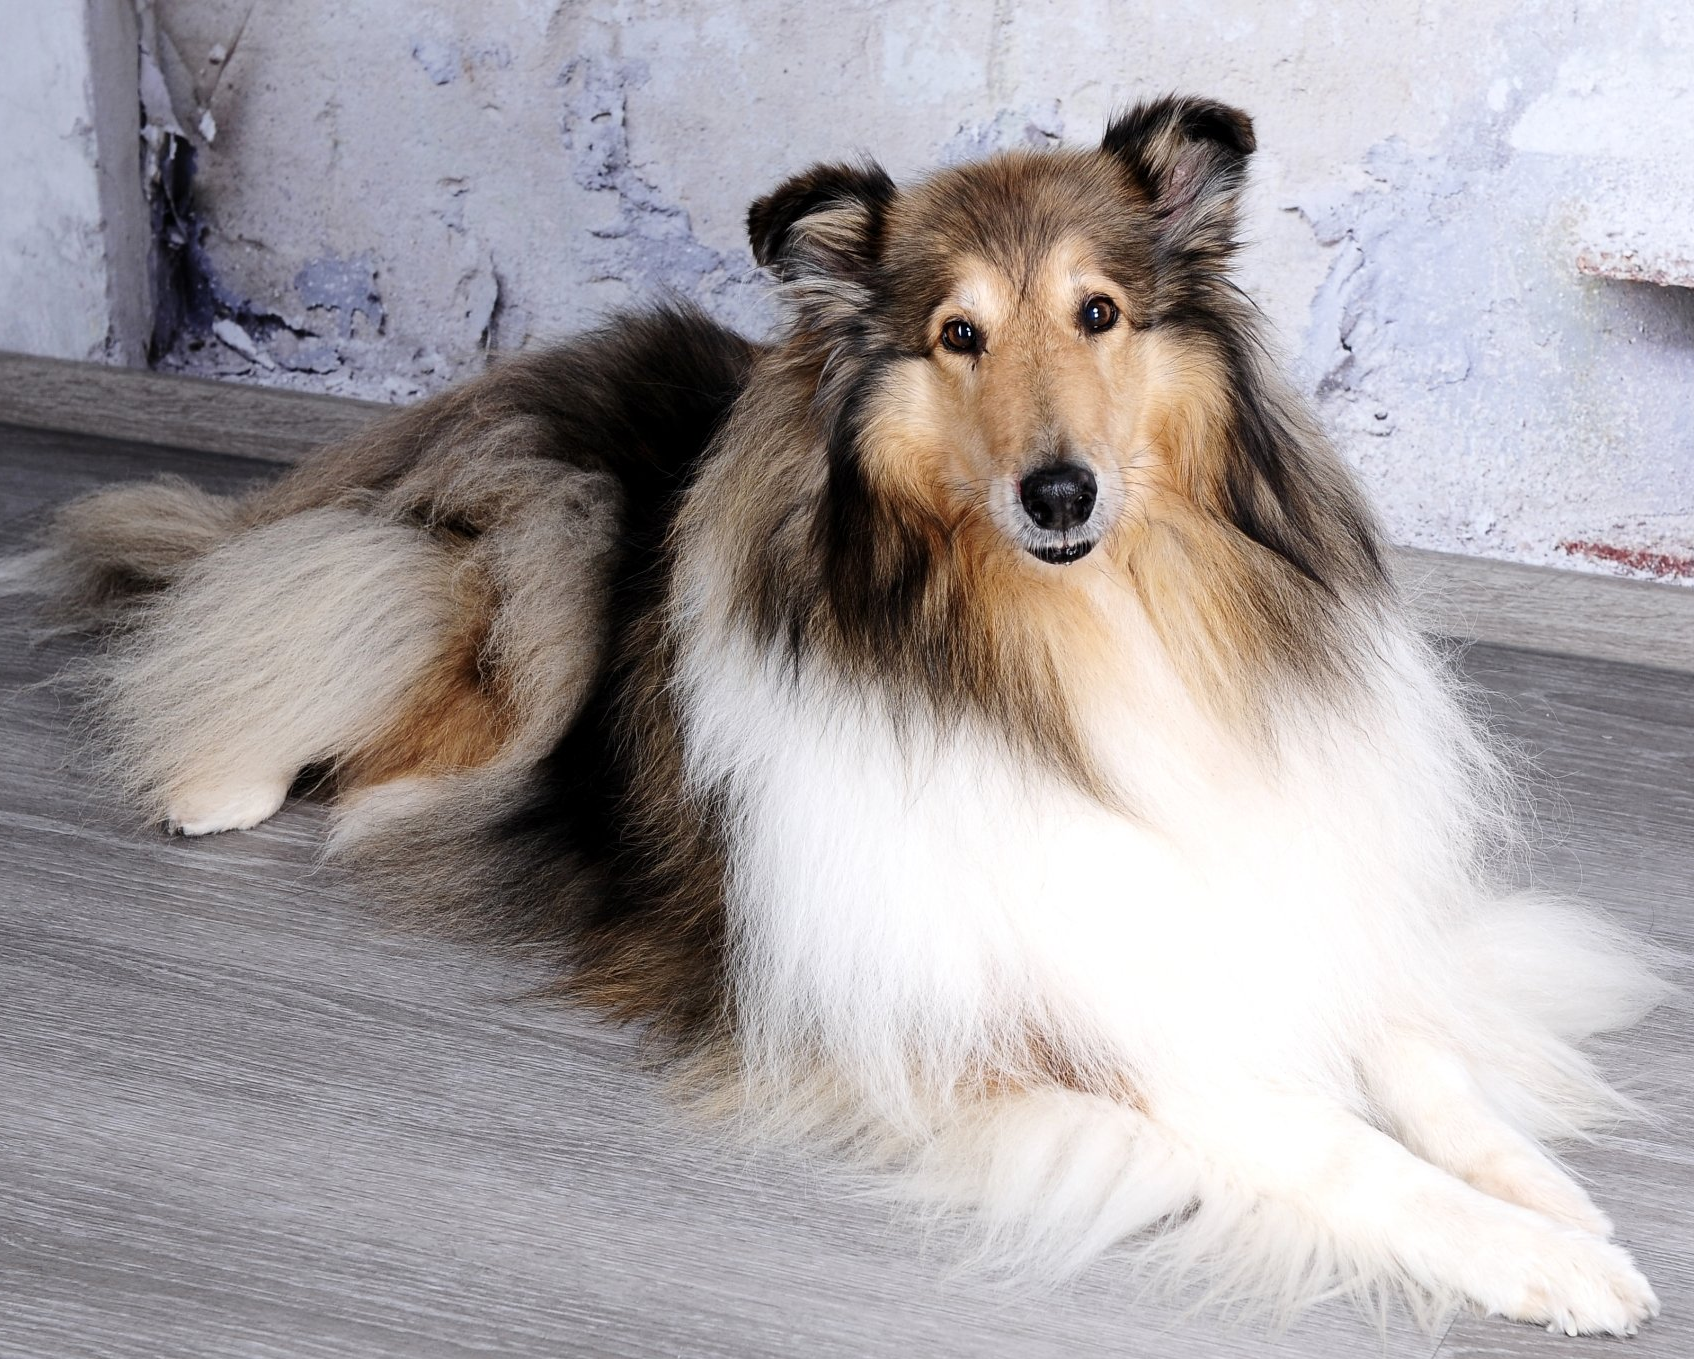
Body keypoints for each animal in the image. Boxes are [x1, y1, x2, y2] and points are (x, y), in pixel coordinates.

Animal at [13, 96, 1666, 1335]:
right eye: (956, 335)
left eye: (1099, 312)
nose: (1056, 491)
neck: (1080, 639)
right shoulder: (1056, 1010)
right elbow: (1334, 1140)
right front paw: (1546, 1260)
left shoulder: (1278, 883)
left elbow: (1423, 1063)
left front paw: (1555, 1196)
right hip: (543, 555)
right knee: (338, 644)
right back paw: (222, 771)